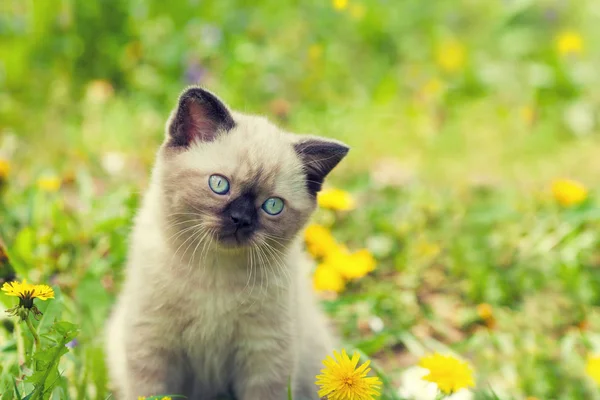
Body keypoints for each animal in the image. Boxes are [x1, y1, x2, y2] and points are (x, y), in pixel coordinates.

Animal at [102, 88, 346, 400]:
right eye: (219, 185)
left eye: (272, 206)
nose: (240, 219)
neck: (214, 272)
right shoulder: (152, 343)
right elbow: (150, 392)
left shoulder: (264, 355)